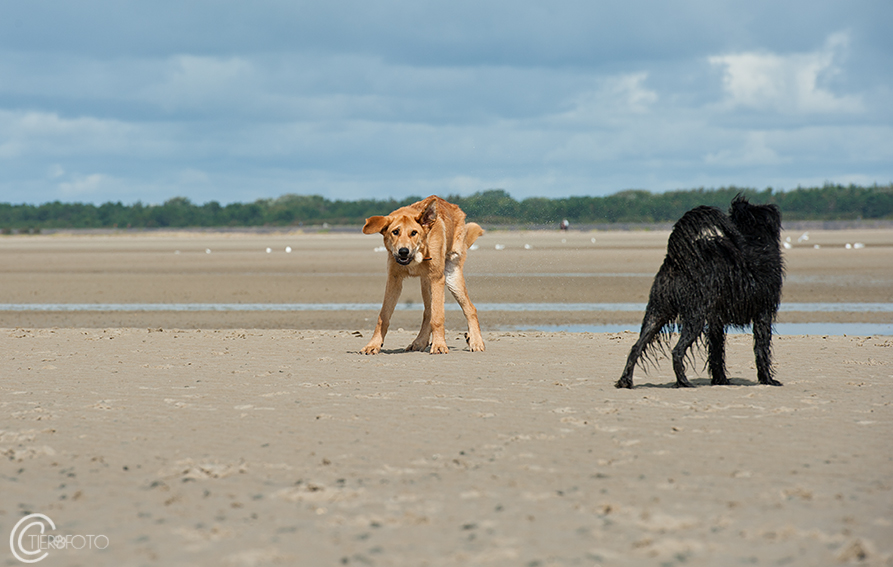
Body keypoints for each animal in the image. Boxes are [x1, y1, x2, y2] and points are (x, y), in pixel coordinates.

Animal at [358, 196, 488, 356]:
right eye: (395, 232)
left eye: (414, 233)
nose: (403, 251)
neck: (417, 256)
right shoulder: (394, 280)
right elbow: (384, 316)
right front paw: (373, 344)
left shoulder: (437, 279)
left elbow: (438, 317)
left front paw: (439, 345)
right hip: (426, 284)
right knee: (428, 312)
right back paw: (419, 341)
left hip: (452, 278)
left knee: (470, 309)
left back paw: (475, 341)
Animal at [616, 196, 784, 390]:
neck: (754, 238)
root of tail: (678, 261)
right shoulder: (763, 313)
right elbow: (761, 348)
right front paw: (768, 380)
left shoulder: (716, 320)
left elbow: (717, 352)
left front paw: (720, 380)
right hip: (695, 316)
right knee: (677, 351)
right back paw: (683, 381)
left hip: (657, 311)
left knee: (636, 347)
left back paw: (625, 381)